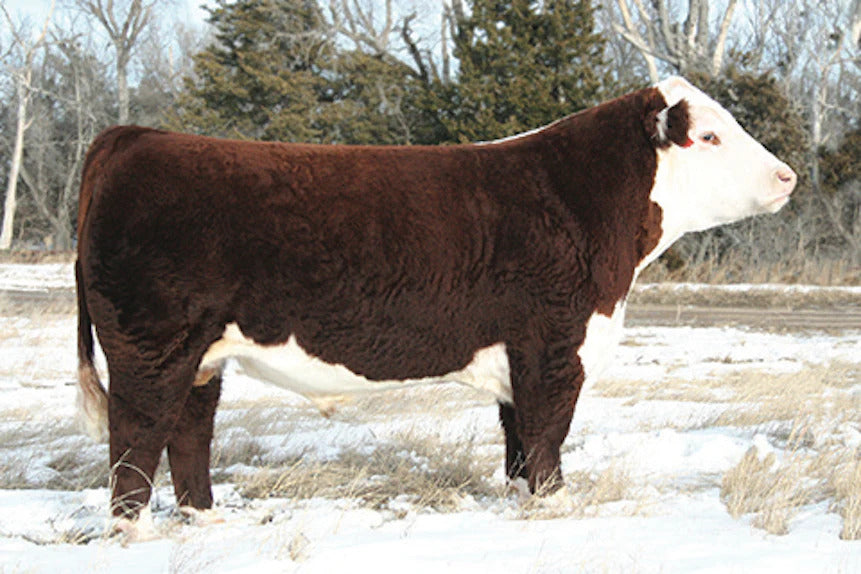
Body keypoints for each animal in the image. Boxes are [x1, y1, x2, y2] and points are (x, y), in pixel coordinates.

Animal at [75, 77, 796, 531]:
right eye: (708, 137)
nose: (787, 175)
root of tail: (136, 137)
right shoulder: (554, 348)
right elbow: (547, 438)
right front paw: (556, 510)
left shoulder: (520, 357)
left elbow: (517, 445)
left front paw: (522, 505)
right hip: (151, 345)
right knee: (136, 437)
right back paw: (134, 533)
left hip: (202, 354)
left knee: (188, 432)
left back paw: (205, 517)